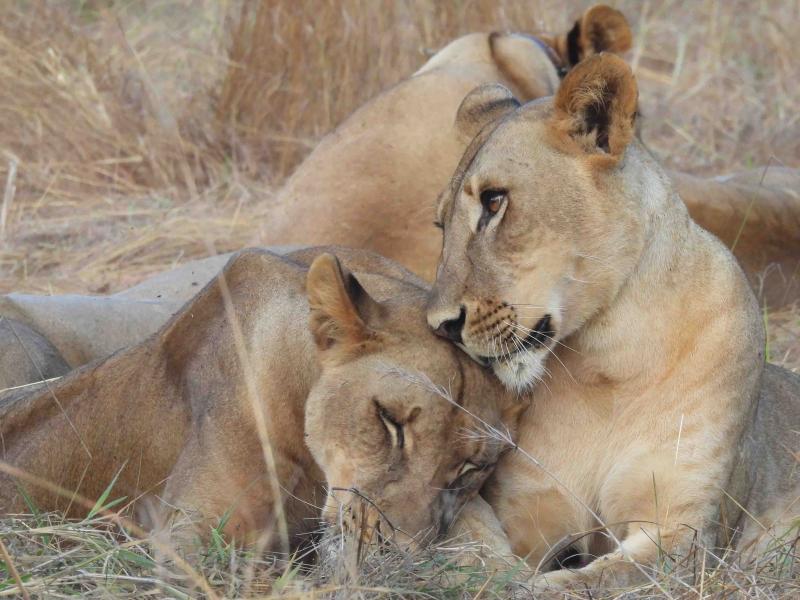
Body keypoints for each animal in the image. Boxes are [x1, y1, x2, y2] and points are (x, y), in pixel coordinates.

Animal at [424, 56, 800, 592]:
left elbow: (585, 582)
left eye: (495, 202)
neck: (607, 357)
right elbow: (477, 541)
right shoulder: (526, 508)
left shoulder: (680, 533)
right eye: (441, 224)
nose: (439, 324)